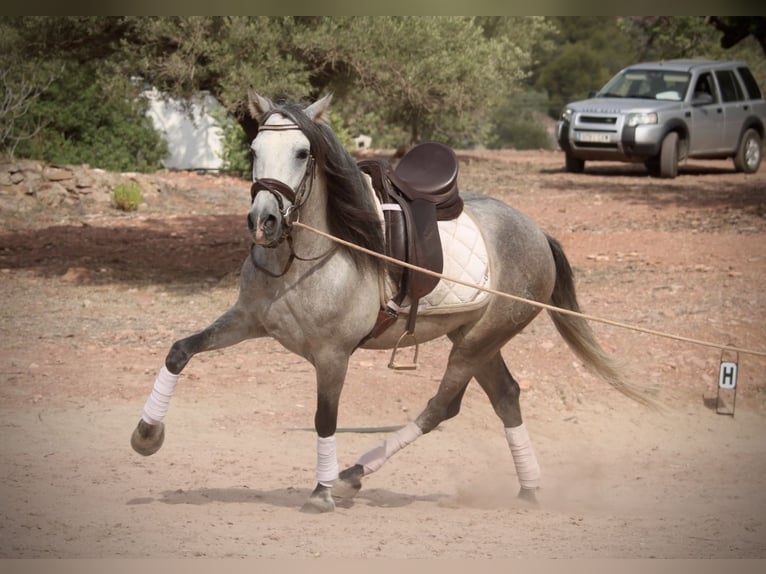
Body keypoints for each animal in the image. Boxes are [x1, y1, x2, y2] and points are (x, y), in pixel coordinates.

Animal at [132, 92, 648, 516]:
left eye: (302, 153)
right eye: (255, 151)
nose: (264, 221)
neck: (304, 258)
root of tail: (537, 232)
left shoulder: (333, 356)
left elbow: (325, 418)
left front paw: (321, 491)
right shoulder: (246, 321)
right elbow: (180, 351)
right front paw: (146, 435)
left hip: (480, 339)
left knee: (441, 407)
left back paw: (351, 475)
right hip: (474, 337)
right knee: (505, 397)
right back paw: (528, 490)